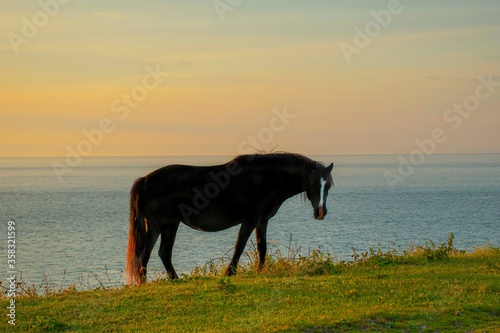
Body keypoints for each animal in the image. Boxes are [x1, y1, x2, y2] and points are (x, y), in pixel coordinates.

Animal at [125, 152, 334, 284]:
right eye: (313, 183)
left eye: (328, 185)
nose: (320, 212)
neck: (268, 177)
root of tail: (144, 180)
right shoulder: (251, 219)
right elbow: (239, 246)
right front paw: (230, 272)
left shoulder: (262, 221)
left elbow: (262, 248)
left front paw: (260, 271)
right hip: (169, 226)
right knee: (164, 253)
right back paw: (175, 279)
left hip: (154, 227)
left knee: (144, 254)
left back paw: (143, 282)